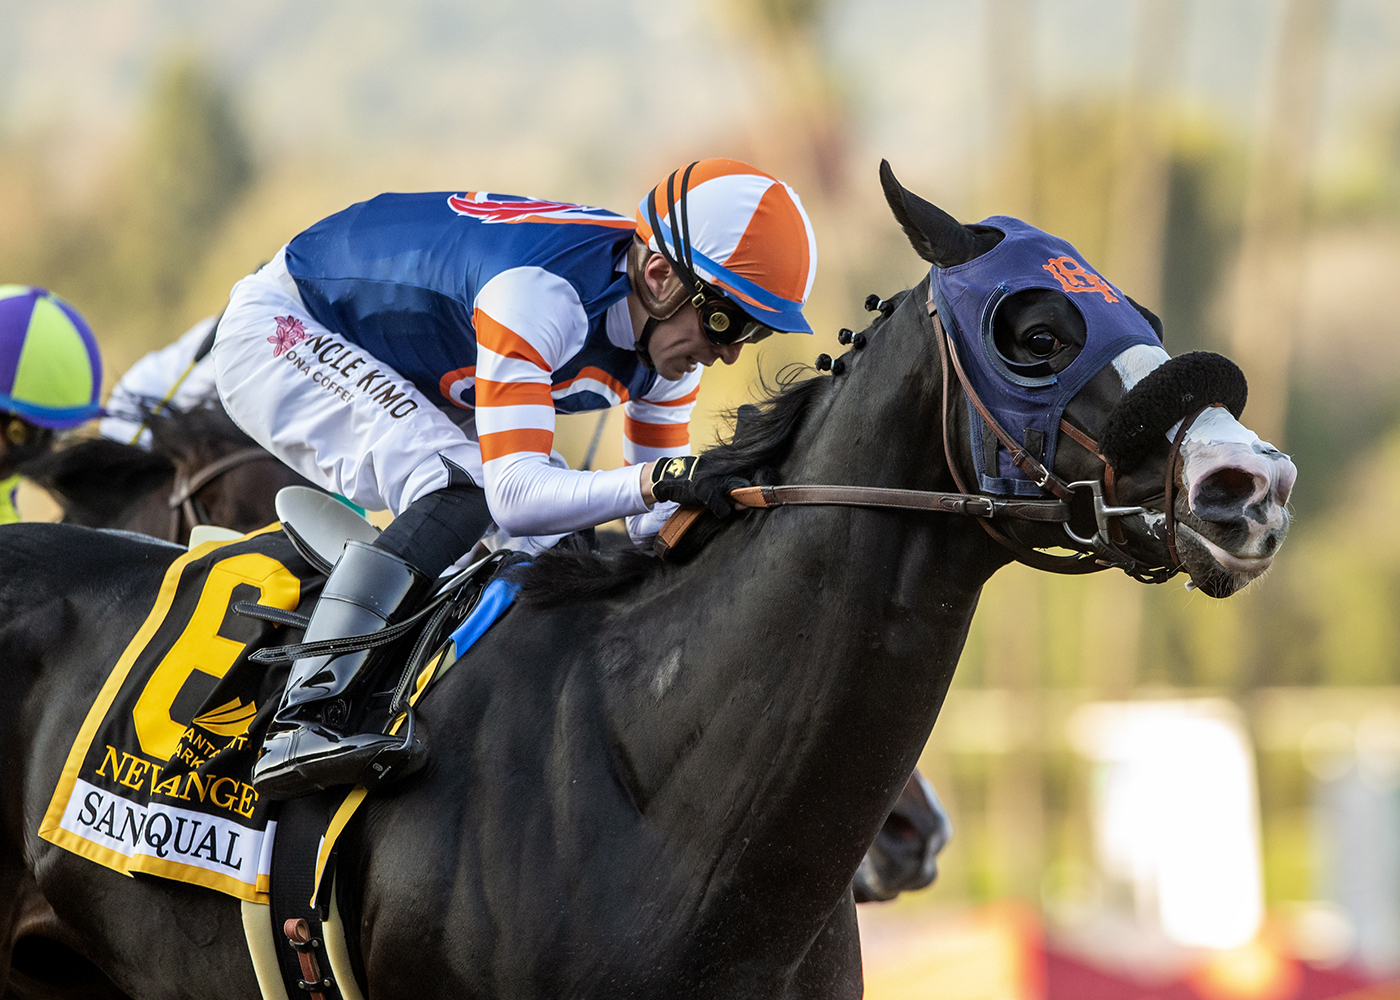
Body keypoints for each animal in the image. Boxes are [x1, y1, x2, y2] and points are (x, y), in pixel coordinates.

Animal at [0, 165, 1293, 997]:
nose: (1250, 483)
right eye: (1033, 335)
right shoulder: (524, 315)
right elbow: (502, 485)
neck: (663, 773)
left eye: (1140, 314)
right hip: (282, 351)